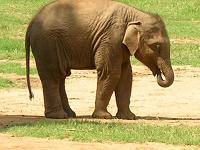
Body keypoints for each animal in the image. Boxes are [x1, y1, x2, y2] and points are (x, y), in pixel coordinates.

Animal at [25, 0, 173, 119]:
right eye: (156, 46)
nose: (158, 73)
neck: (135, 15)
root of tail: (32, 22)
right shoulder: (111, 38)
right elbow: (111, 72)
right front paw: (104, 116)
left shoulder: (119, 44)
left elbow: (126, 75)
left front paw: (129, 117)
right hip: (47, 44)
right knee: (53, 75)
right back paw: (58, 116)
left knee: (61, 76)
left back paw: (70, 114)